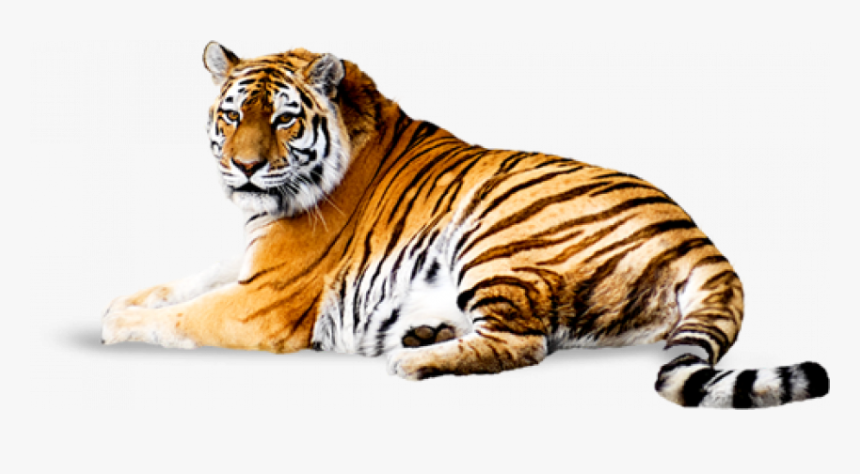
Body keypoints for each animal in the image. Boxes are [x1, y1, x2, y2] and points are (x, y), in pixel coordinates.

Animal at [101, 42, 830, 409]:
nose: (245, 167)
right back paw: (424, 331)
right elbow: (181, 283)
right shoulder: (249, 262)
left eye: (282, 119)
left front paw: (117, 324)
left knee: (523, 345)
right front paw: (119, 301)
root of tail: (700, 239)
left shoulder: (263, 302)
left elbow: (179, 317)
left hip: (497, 241)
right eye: (230, 115)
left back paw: (411, 357)